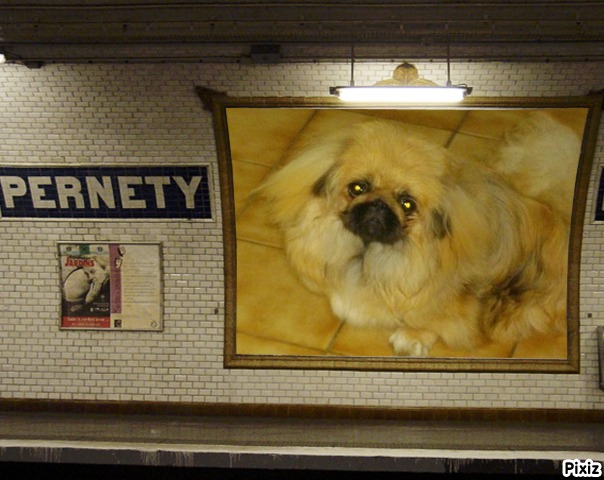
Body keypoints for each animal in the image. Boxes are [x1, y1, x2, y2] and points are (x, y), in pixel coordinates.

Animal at [256, 114, 579, 356]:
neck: (371, 255)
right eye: (358, 188)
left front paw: (413, 337)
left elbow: (437, 321)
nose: (378, 206)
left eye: (407, 203)